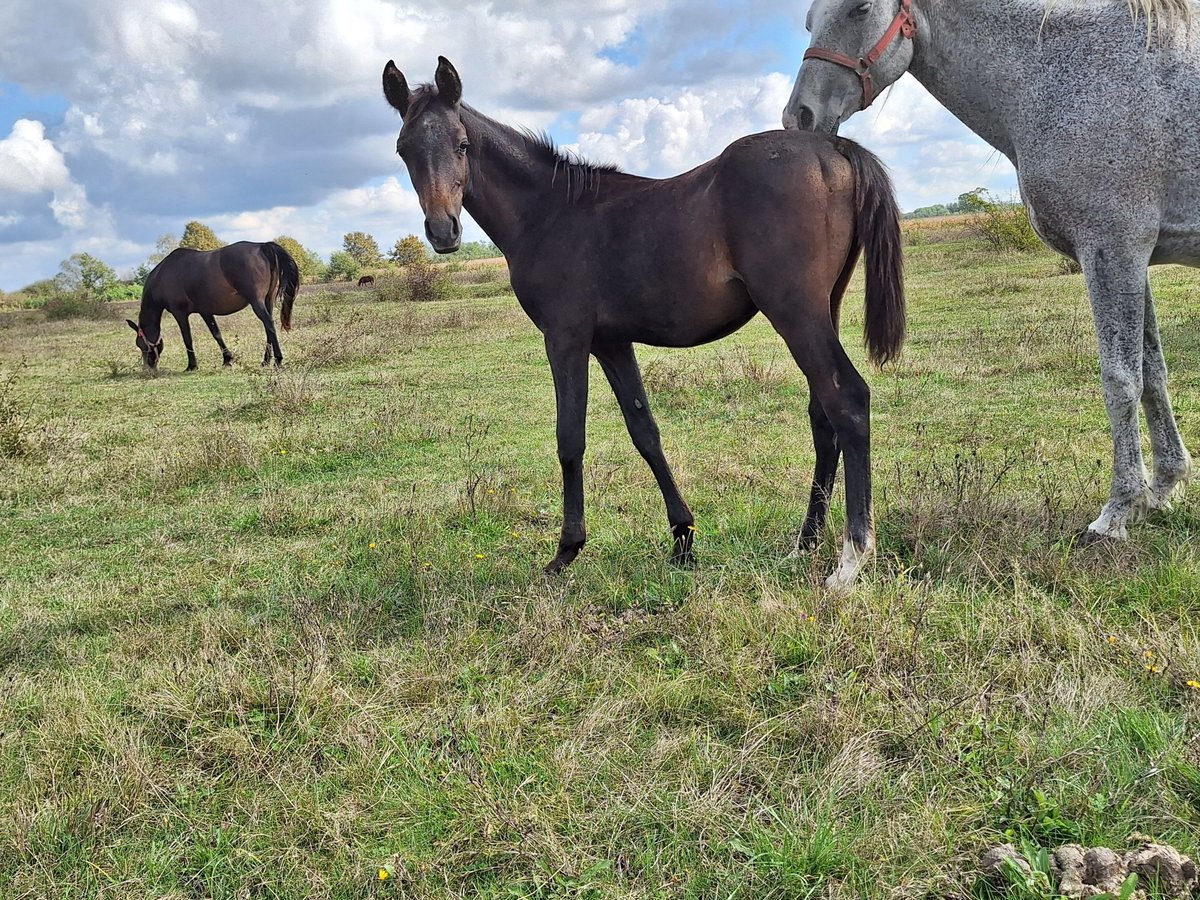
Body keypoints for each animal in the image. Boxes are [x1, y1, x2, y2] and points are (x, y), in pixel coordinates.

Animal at [126, 241, 300, 372]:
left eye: (140, 344)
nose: (148, 368)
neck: (163, 275)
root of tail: (261, 246)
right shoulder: (205, 312)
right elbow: (216, 334)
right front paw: (227, 359)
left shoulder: (179, 313)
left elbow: (187, 338)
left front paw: (192, 365)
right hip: (267, 301)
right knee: (268, 327)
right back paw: (265, 361)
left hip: (256, 302)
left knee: (269, 324)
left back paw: (278, 360)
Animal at [381, 58, 902, 592]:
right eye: (404, 150)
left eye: (462, 144)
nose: (443, 231)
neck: (549, 213)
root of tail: (834, 146)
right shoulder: (612, 344)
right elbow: (645, 432)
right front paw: (683, 538)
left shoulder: (565, 339)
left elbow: (570, 438)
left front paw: (566, 551)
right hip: (824, 308)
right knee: (823, 416)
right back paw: (804, 543)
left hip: (795, 312)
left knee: (848, 401)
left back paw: (850, 558)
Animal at [782, 0, 1195, 542]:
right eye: (809, 21)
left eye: (860, 8)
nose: (799, 116)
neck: (1050, 76)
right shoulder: (1131, 257)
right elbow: (1153, 374)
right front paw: (1163, 488)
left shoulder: (1112, 250)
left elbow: (1121, 379)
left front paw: (1118, 510)